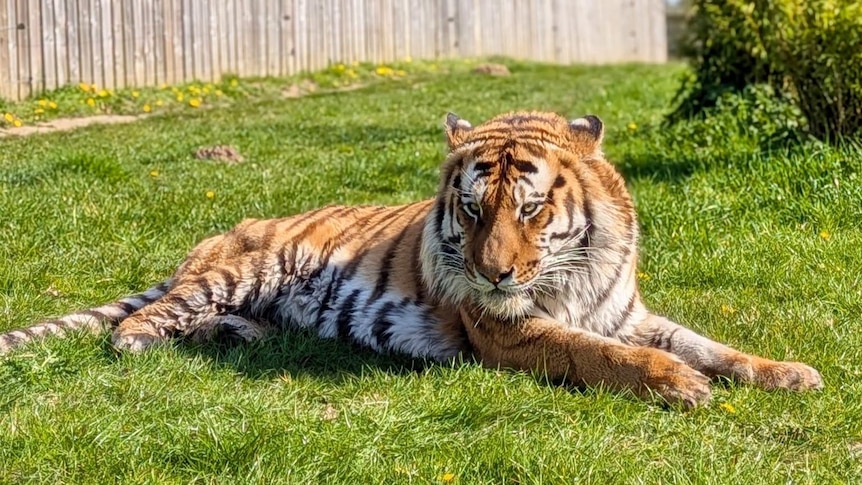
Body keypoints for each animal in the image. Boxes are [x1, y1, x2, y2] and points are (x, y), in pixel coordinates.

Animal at [0, 111, 823, 407]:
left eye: (530, 209)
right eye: (473, 209)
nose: (493, 273)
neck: (576, 269)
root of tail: (214, 238)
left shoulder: (626, 312)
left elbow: (707, 343)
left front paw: (789, 373)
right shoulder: (508, 332)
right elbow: (600, 355)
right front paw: (679, 384)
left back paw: (252, 337)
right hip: (239, 270)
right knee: (139, 326)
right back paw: (162, 343)